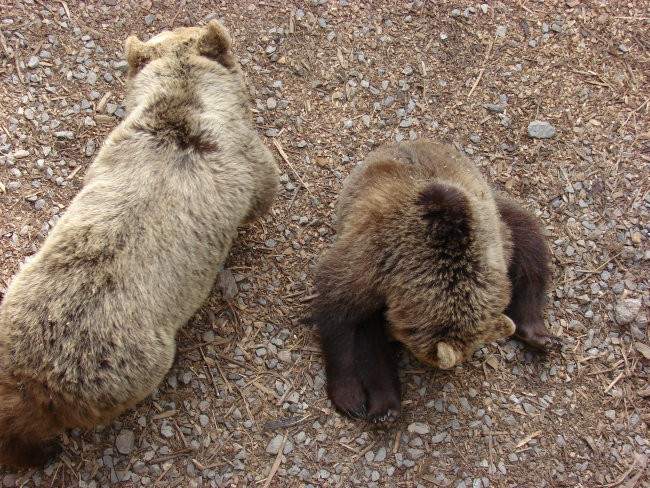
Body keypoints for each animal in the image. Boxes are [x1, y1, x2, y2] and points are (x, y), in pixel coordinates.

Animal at [308, 139, 556, 422]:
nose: (393, 336)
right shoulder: (374, 260)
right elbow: (339, 312)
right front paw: (353, 397)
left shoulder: (496, 247)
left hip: (499, 211)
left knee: (530, 241)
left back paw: (540, 335)